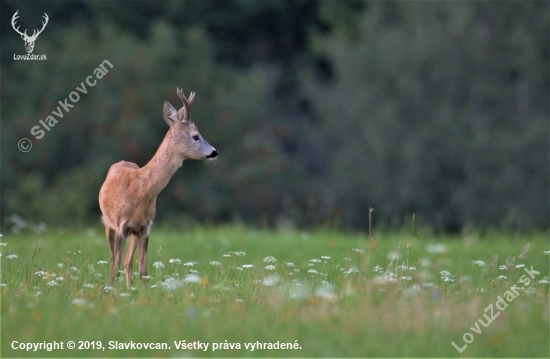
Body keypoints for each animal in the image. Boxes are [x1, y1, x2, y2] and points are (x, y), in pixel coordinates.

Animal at [99, 88, 218, 288]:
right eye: (196, 136)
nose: (215, 152)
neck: (140, 192)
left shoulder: (145, 226)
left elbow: (143, 271)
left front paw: (144, 293)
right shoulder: (121, 224)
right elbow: (116, 268)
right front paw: (115, 292)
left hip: (134, 232)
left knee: (128, 262)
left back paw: (129, 288)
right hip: (108, 224)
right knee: (113, 261)